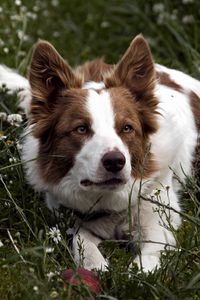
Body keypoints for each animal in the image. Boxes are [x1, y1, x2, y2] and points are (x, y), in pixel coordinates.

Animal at [0, 35, 199, 272]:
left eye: (127, 128)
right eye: (81, 129)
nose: (115, 162)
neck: (110, 200)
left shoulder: (158, 224)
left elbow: (145, 265)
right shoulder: (73, 218)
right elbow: (81, 240)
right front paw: (96, 267)